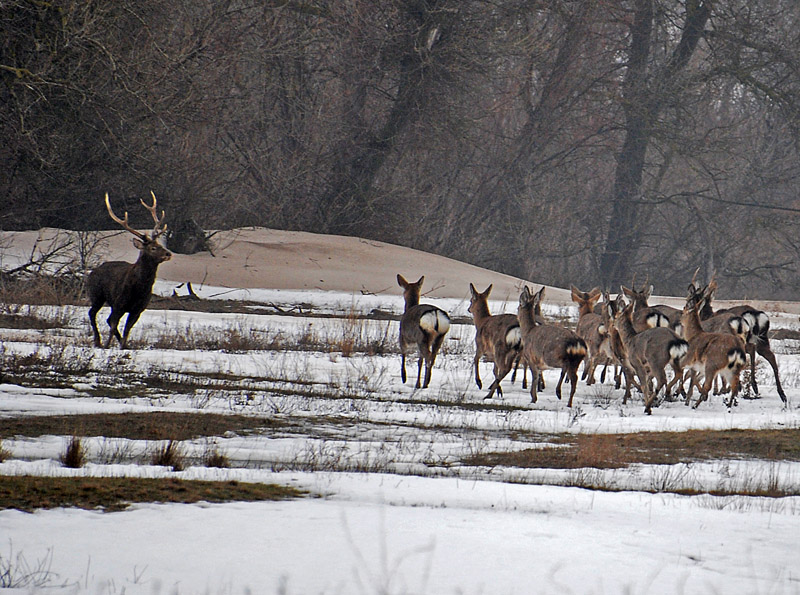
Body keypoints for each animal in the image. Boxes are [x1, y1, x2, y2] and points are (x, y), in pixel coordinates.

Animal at [87, 191, 172, 350]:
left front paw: (123, 345)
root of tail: (92, 272)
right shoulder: (119, 303)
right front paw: (107, 346)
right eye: (153, 248)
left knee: (106, 319)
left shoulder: (138, 309)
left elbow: (127, 330)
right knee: (93, 313)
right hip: (96, 294)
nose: (168, 253)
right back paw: (98, 341)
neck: (139, 288)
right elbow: (113, 326)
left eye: (159, 244)